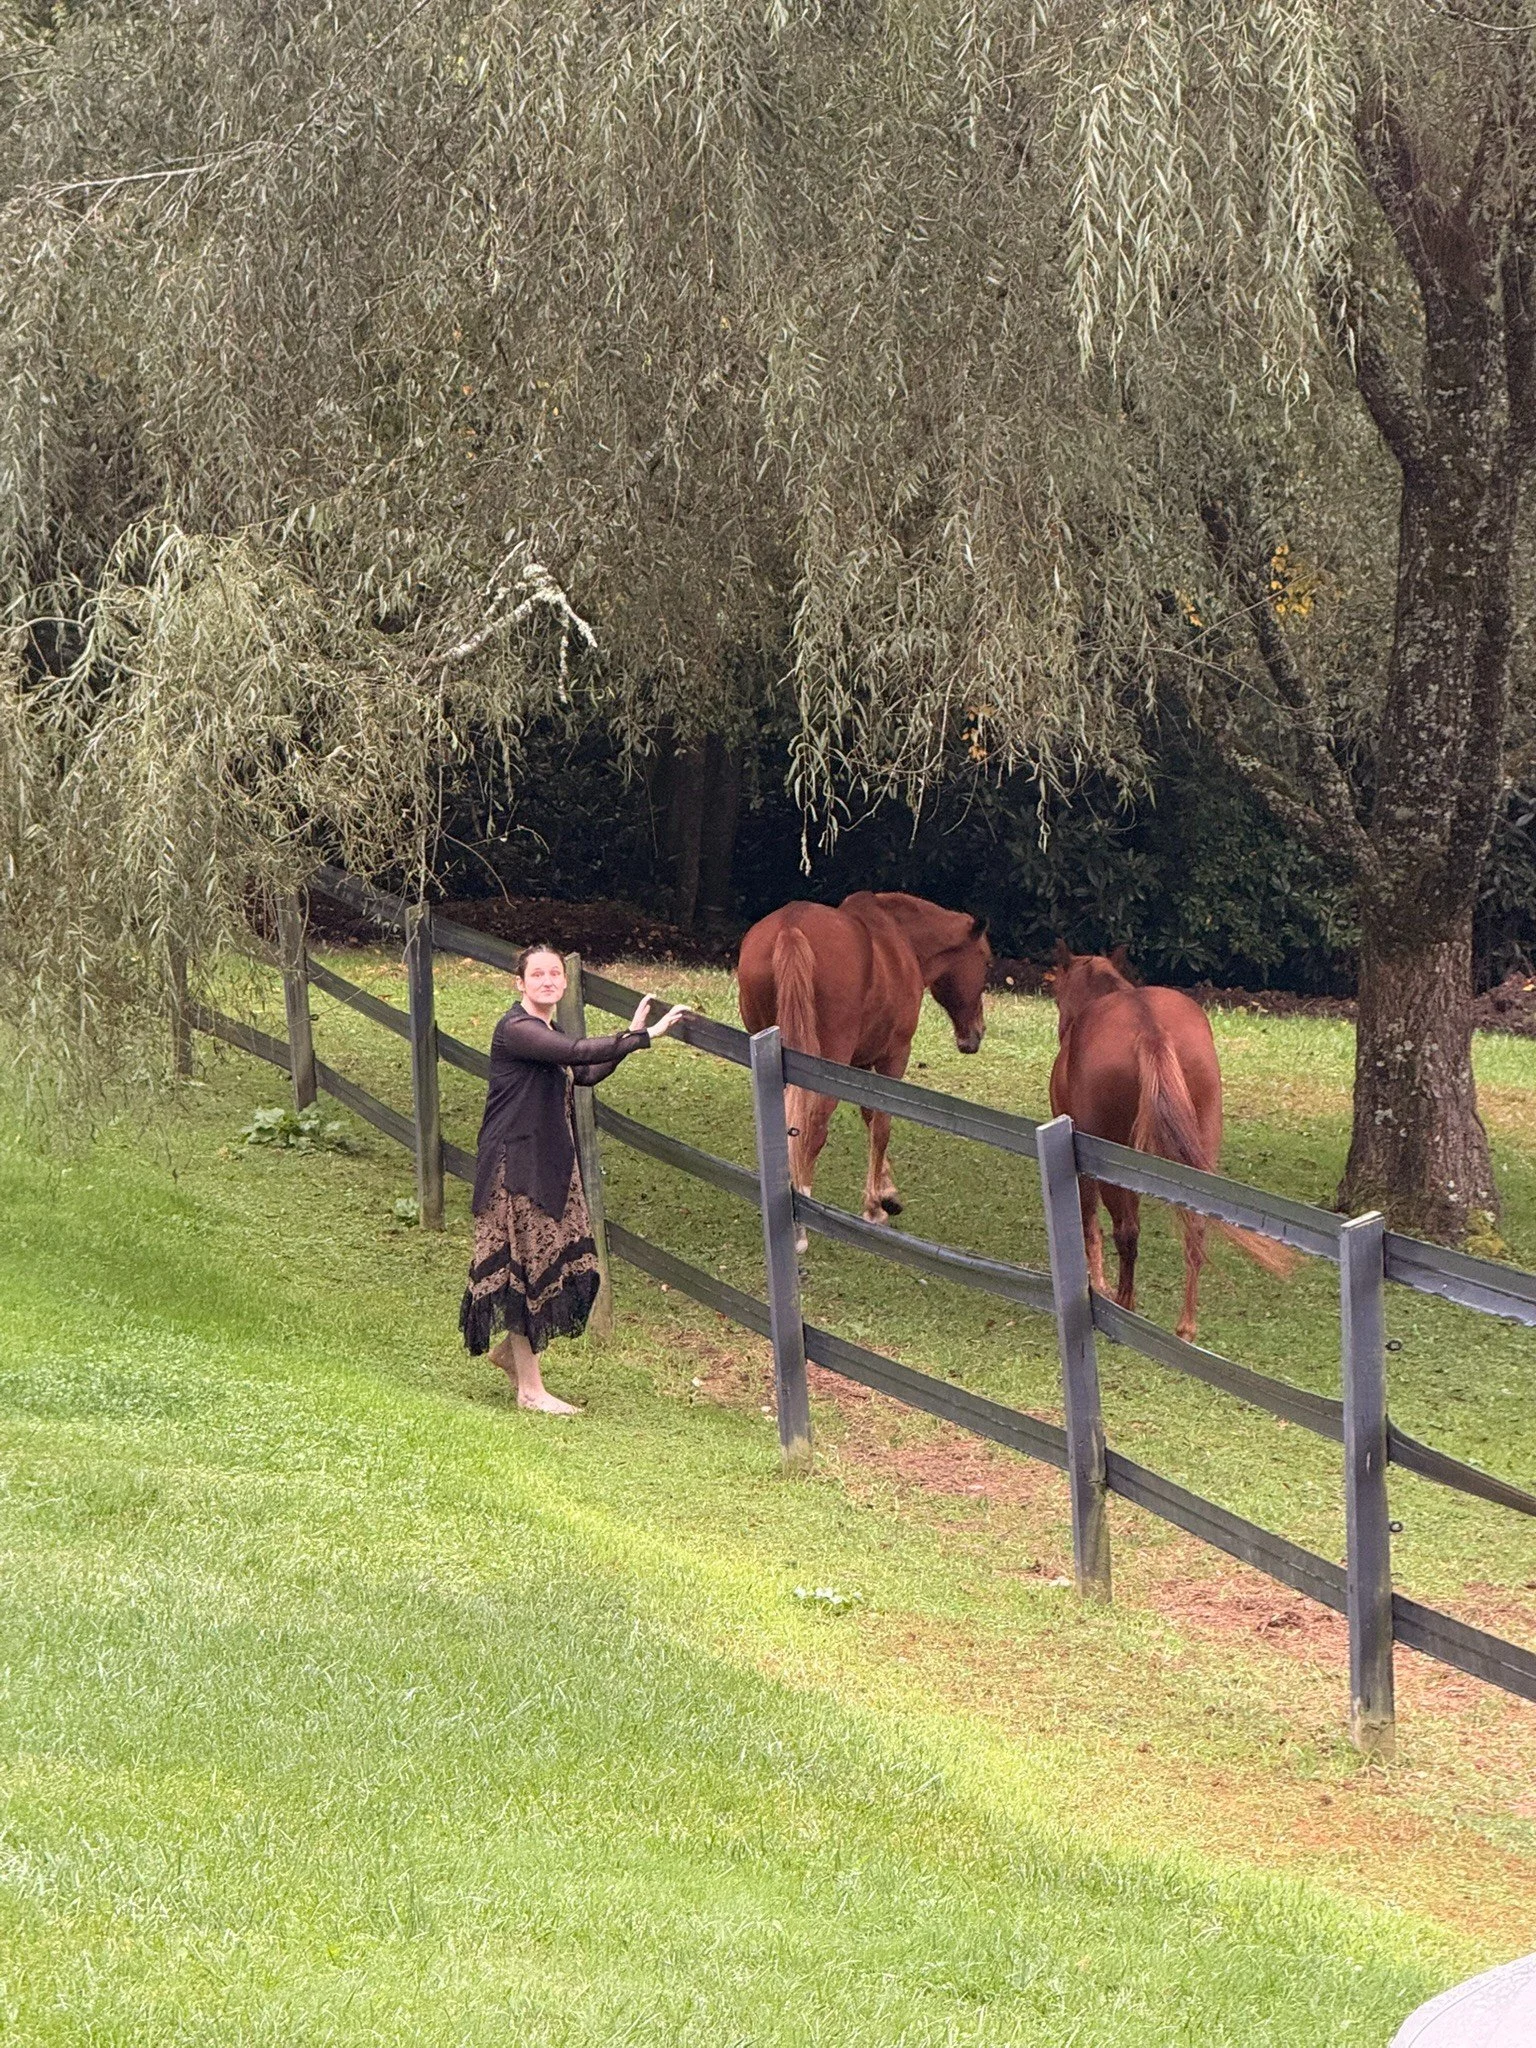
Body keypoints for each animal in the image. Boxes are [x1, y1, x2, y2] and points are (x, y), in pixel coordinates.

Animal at [738, 893, 992, 1241]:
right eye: (987, 962)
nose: (977, 1033)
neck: (899, 938)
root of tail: (790, 928)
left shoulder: (859, 1064)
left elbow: (869, 1116)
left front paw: (887, 1193)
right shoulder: (893, 1057)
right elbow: (882, 1125)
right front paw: (875, 1206)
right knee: (813, 1128)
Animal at [1048, 943, 1296, 1341]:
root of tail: (1150, 1030)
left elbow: (1089, 1225)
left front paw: (1097, 1286)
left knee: (1127, 1231)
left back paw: (1125, 1304)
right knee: (1196, 1230)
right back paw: (1186, 1327)